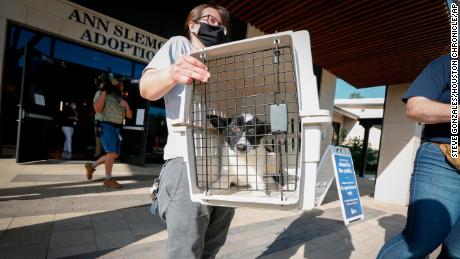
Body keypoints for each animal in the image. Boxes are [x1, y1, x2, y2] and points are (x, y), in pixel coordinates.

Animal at [182, 30, 330, 210]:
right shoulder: (226, 176)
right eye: (234, 129)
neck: (242, 162)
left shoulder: (257, 177)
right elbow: (218, 184)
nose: (241, 147)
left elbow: (260, 188)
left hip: (273, 157)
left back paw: (282, 184)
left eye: (253, 130)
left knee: (278, 175)